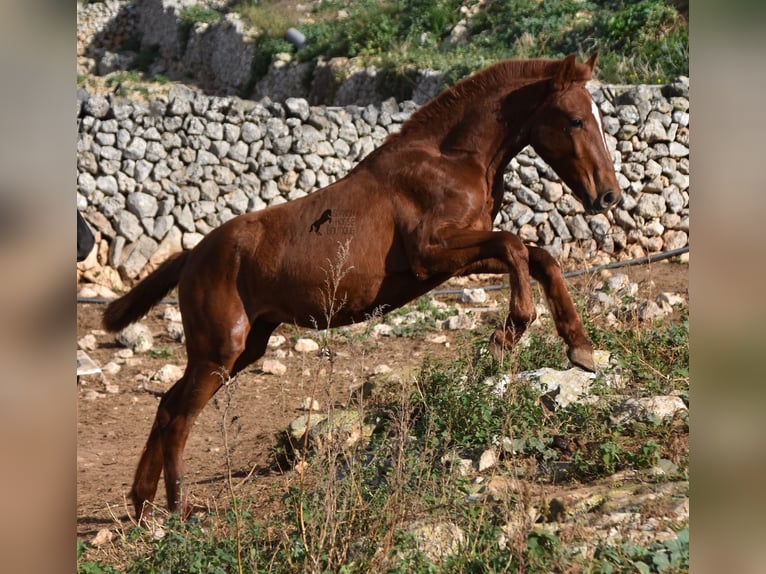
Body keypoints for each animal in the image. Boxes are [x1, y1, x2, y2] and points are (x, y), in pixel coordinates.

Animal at [102, 55, 620, 520]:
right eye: (575, 119)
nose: (608, 196)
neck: (450, 160)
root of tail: (192, 256)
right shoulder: (433, 252)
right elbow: (515, 246)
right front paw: (507, 334)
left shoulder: (456, 261)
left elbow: (539, 257)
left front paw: (580, 348)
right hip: (220, 349)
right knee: (178, 418)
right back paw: (177, 510)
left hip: (244, 348)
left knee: (168, 406)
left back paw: (142, 505)